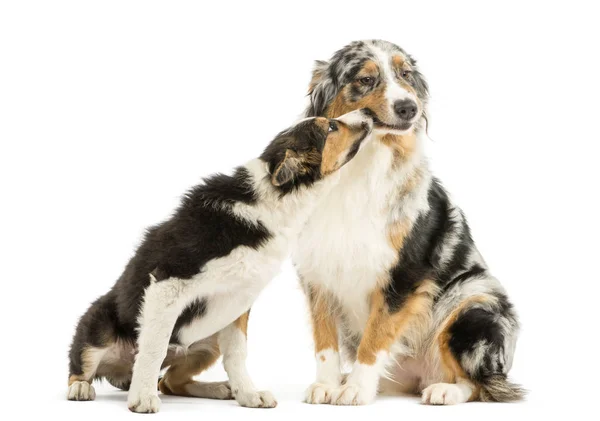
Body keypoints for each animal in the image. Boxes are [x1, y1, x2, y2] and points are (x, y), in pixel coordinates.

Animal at [68, 108, 372, 410]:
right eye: (332, 127)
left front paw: (248, 395)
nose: (367, 112)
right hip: (97, 328)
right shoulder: (169, 280)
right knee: (82, 367)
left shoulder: (238, 299)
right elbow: (154, 347)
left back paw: (218, 388)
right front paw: (142, 398)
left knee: (171, 382)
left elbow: (237, 354)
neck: (271, 200)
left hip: (208, 342)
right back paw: (82, 388)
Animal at [294, 41, 520, 406]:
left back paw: (444, 390)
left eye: (406, 75)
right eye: (365, 78)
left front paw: (356, 389)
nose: (408, 107)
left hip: (472, 305)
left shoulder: (405, 274)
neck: (362, 165)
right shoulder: (317, 269)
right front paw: (326, 384)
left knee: (481, 382)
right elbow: (324, 339)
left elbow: (376, 336)